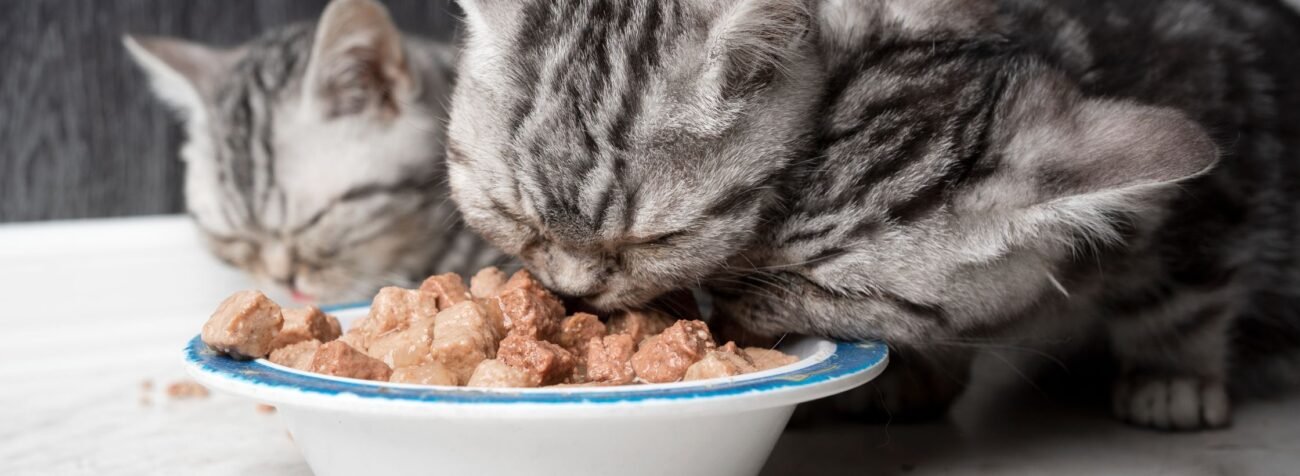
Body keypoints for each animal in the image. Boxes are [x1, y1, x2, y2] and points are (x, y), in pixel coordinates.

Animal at [444, 0, 1300, 431]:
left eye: (834, 292)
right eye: (506, 216)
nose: (728, 311)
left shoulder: (1224, 168)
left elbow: (1186, 296)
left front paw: (1173, 374)